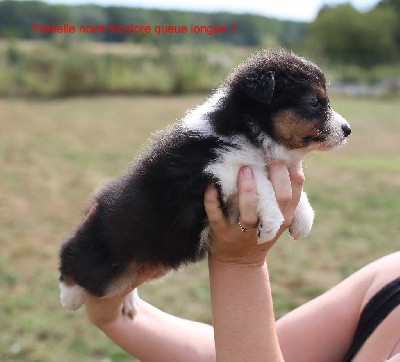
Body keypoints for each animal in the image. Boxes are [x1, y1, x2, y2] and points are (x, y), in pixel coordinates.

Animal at [58, 49, 350, 316]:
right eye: (314, 102)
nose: (348, 130)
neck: (243, 130)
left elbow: (283, 183)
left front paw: (303, 218)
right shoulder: (209, 169)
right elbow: (256, 174)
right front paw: (271, 220)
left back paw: (129, 301)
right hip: (105, 261)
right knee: (73, 257)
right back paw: (69, 296)